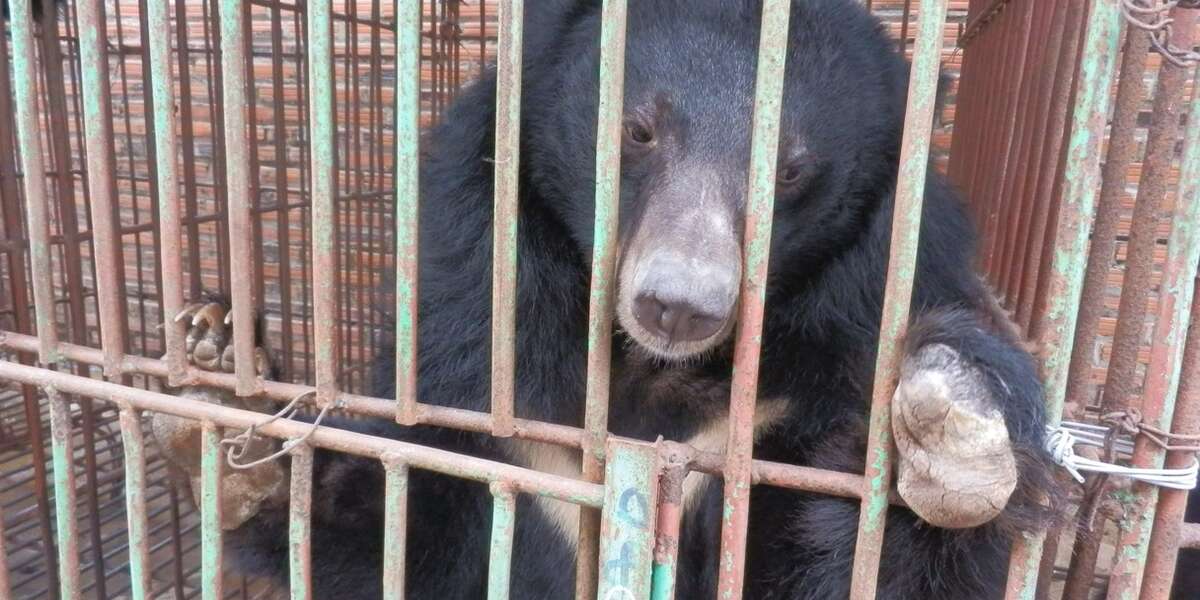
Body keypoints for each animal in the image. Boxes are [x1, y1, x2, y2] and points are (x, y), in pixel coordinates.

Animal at [151, 0, 1066, 598]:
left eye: (792, 172)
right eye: (638, 131)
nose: (678, 304)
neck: (650, 369)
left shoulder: (797, 391)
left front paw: (953, 428)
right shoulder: (482, 375)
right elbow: (402, 531)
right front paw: (228, 412)